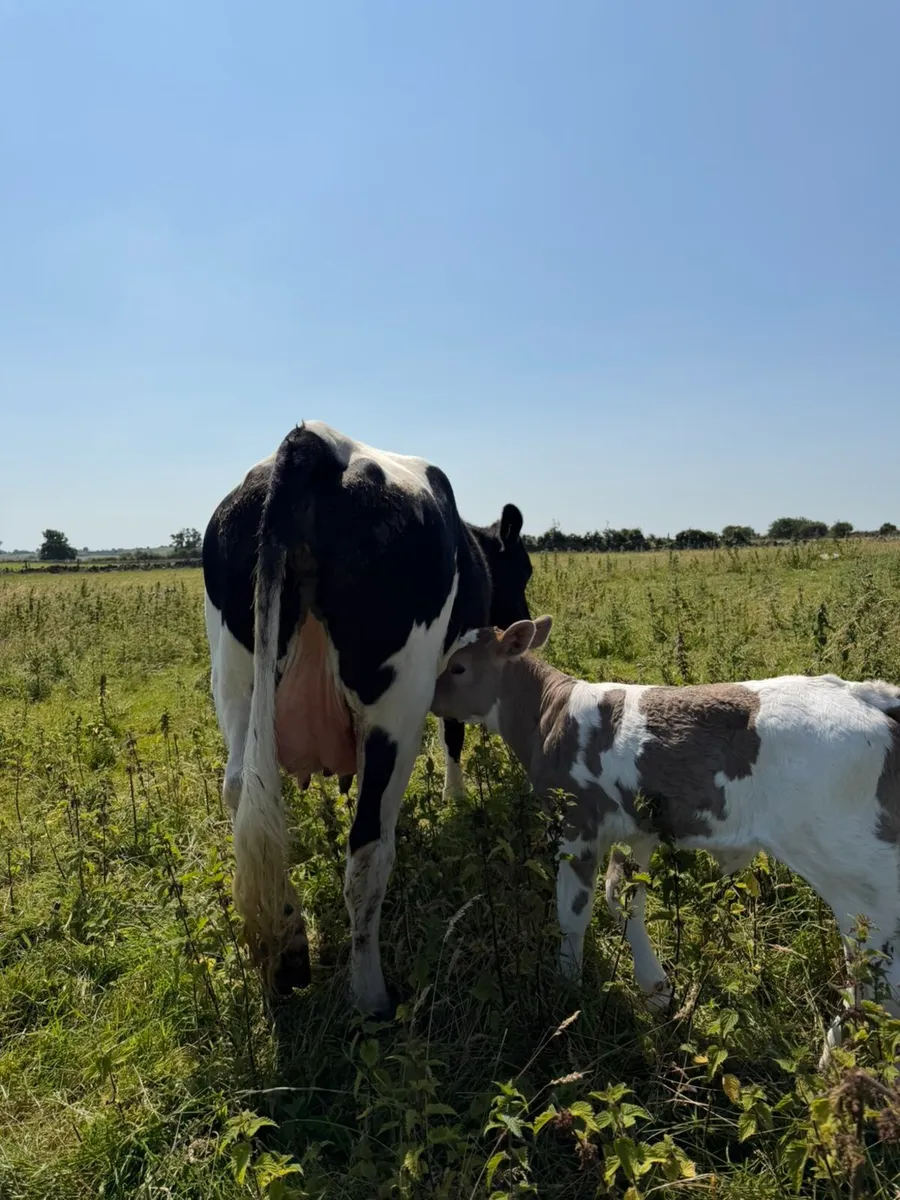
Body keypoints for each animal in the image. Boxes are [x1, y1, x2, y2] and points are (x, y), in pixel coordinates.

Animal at [202, 420, 531, 1012]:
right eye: (525, 570)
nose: (523, 622)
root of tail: (312, 443)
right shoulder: (451, 669)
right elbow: (452, 736)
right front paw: (455, 799)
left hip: (236, 678)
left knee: (243, 789)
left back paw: (287, 951)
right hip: (396, 705)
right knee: (368, 845)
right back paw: (371, 995)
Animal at [430, 615, 900, 1069]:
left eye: (458, 667)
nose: (431, 701)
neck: (550, 715)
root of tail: (866, 695)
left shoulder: (576, 827)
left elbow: (573, 911)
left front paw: (568, 987)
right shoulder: (637, 831)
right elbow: (623, 896)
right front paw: (655, 988)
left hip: (858, 875)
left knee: (877, 976)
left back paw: (834, 1057)